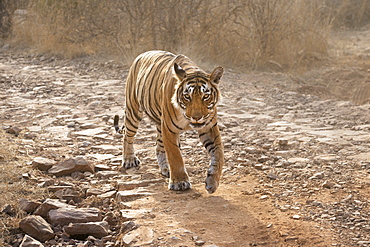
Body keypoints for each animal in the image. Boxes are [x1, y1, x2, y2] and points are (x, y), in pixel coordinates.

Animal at [115, 49, 225, 193]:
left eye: (206, 96)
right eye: (187, 97)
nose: (196, 117)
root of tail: (141, 54)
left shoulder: (209, 127)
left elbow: (218, 154)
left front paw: (212, 182)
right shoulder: (169, 128)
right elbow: (175, 155)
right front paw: (180, 182)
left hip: (159, 124)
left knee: (158, 146)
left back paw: (165, 168)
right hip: (133, 111)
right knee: (127, 136)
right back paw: (129, 160)